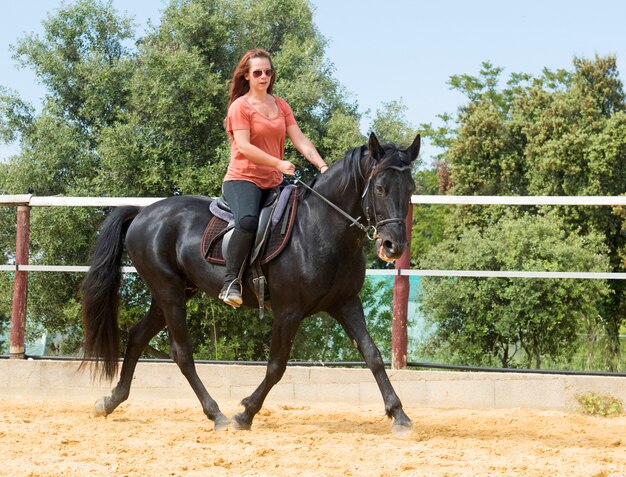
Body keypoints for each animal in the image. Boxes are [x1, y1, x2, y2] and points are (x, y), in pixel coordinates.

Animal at [80, 132, 416, 434]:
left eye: (410, 189)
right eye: (381, 188)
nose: (393, 246)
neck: (320, 228)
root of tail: (142, 213)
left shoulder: (346, 303)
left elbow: (372, 355)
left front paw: (399, 416)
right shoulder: (288, 311)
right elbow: (276, 366)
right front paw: (245, 413)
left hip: (174, 292)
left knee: (137, 336)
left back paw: (110, 401)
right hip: (168, 290)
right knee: (181, 353)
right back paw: (216, 414)